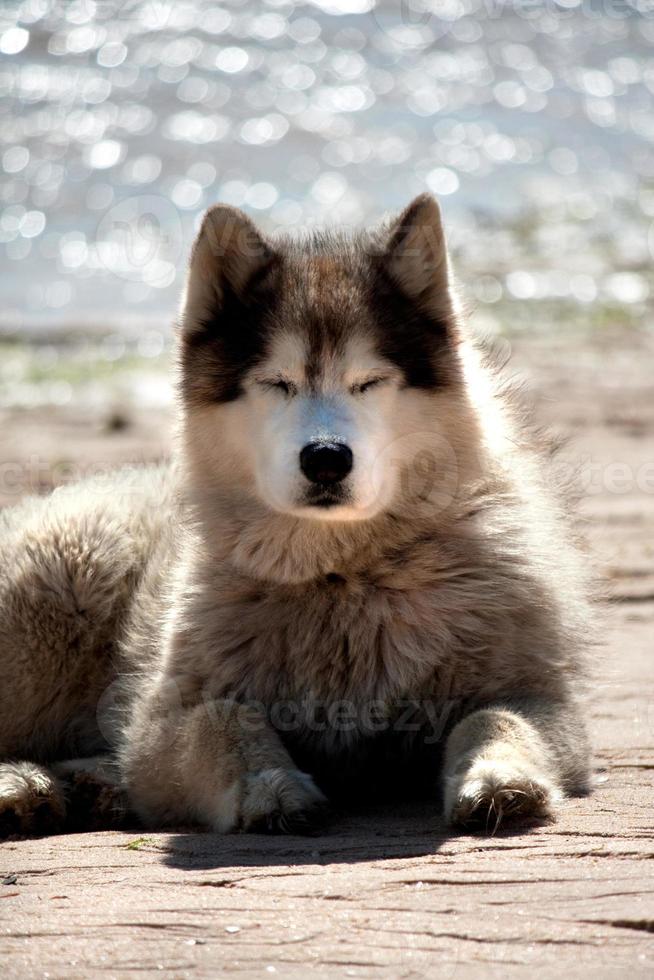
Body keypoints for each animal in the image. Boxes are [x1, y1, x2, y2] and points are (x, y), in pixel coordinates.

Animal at [0, 195, 596, 840]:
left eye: (369, 381)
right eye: (277, 383)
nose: (327, 457)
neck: (343, 578)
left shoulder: (545, 698)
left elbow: (494, 717)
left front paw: (498, 778)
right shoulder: (157, 726)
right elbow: (223, 717)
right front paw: (272, 787)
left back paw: (86, 785)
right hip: (63, 590)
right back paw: (26, 783)